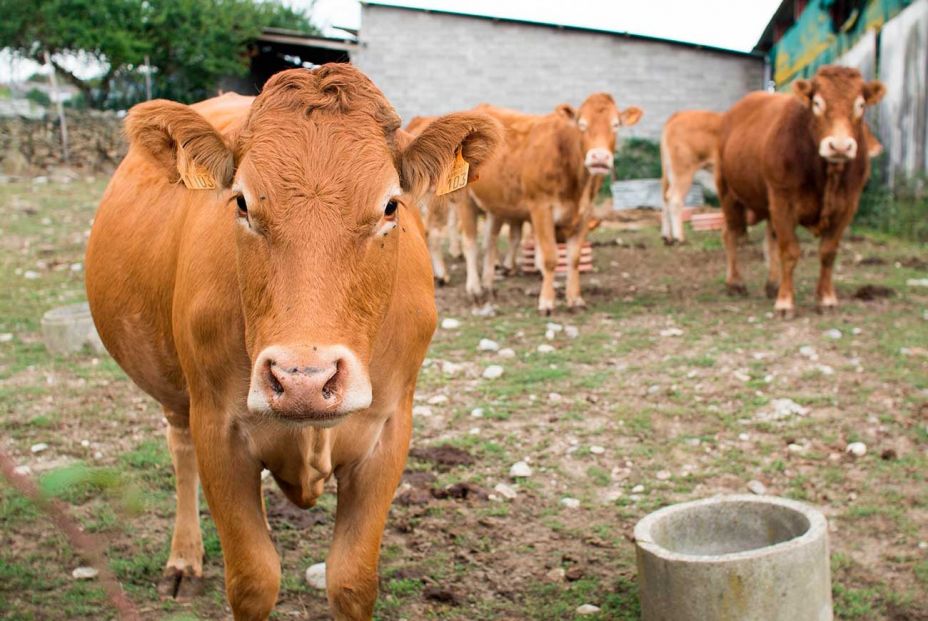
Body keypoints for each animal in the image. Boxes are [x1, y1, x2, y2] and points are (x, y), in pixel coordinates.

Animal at [87, 65, 504, 616]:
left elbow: (350, 580)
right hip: (175, 392)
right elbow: (253, 580)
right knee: (180, 450)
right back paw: (184, 561)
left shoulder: (389, 431)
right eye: (242, 202)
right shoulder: (217, 429)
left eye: (391, 205)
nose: (303, 380)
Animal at [460, 97, 640, 314]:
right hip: (465, 199)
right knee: (469, 243)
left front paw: (575, 298)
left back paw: (488, 286)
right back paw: (474, 290)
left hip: (496, 204)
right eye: (582, 125)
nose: (599, 157)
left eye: (615, 125)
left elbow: (574, 258)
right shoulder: (541, 208)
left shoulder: (585, 213)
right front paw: (546, 301)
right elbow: (550, 257)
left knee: (489, 241)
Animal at [716, 66, 884, 318]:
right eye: (817, 103)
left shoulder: (847, 205)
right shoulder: (783, 200)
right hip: (729, 193)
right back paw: (735, 282)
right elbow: (790, 251)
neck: (826, 176)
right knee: (731, 233)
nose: (840, 146)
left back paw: (773, 284)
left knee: (768, 238)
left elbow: (828, 252)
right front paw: (785, 302)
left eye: (861, 105)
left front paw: (826, 299)